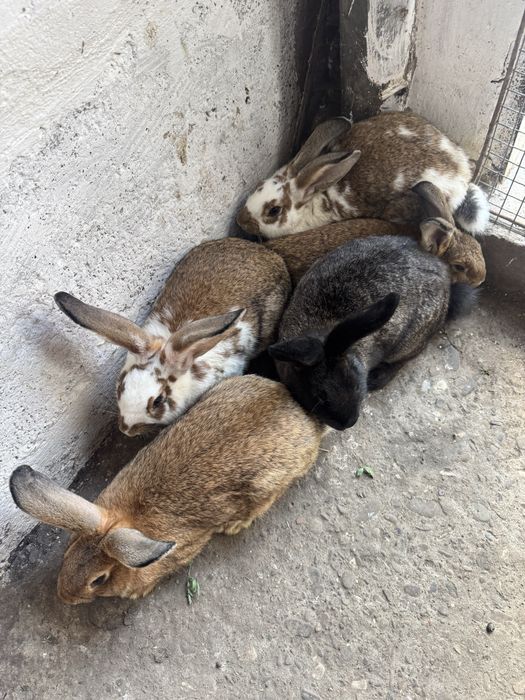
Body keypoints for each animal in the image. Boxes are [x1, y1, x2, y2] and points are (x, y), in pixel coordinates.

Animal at [9, 375, 324, 603]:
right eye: (68, 551)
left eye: (98, 580)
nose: (64, 597)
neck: (125, 522)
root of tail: (305, 420)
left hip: (268, 482)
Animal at [268, 235, 478, 431]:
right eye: (321, 396)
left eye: (357, 385)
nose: (349, 423)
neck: (322, 330)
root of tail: (447, 288)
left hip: (408, 342)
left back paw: (377, 378)